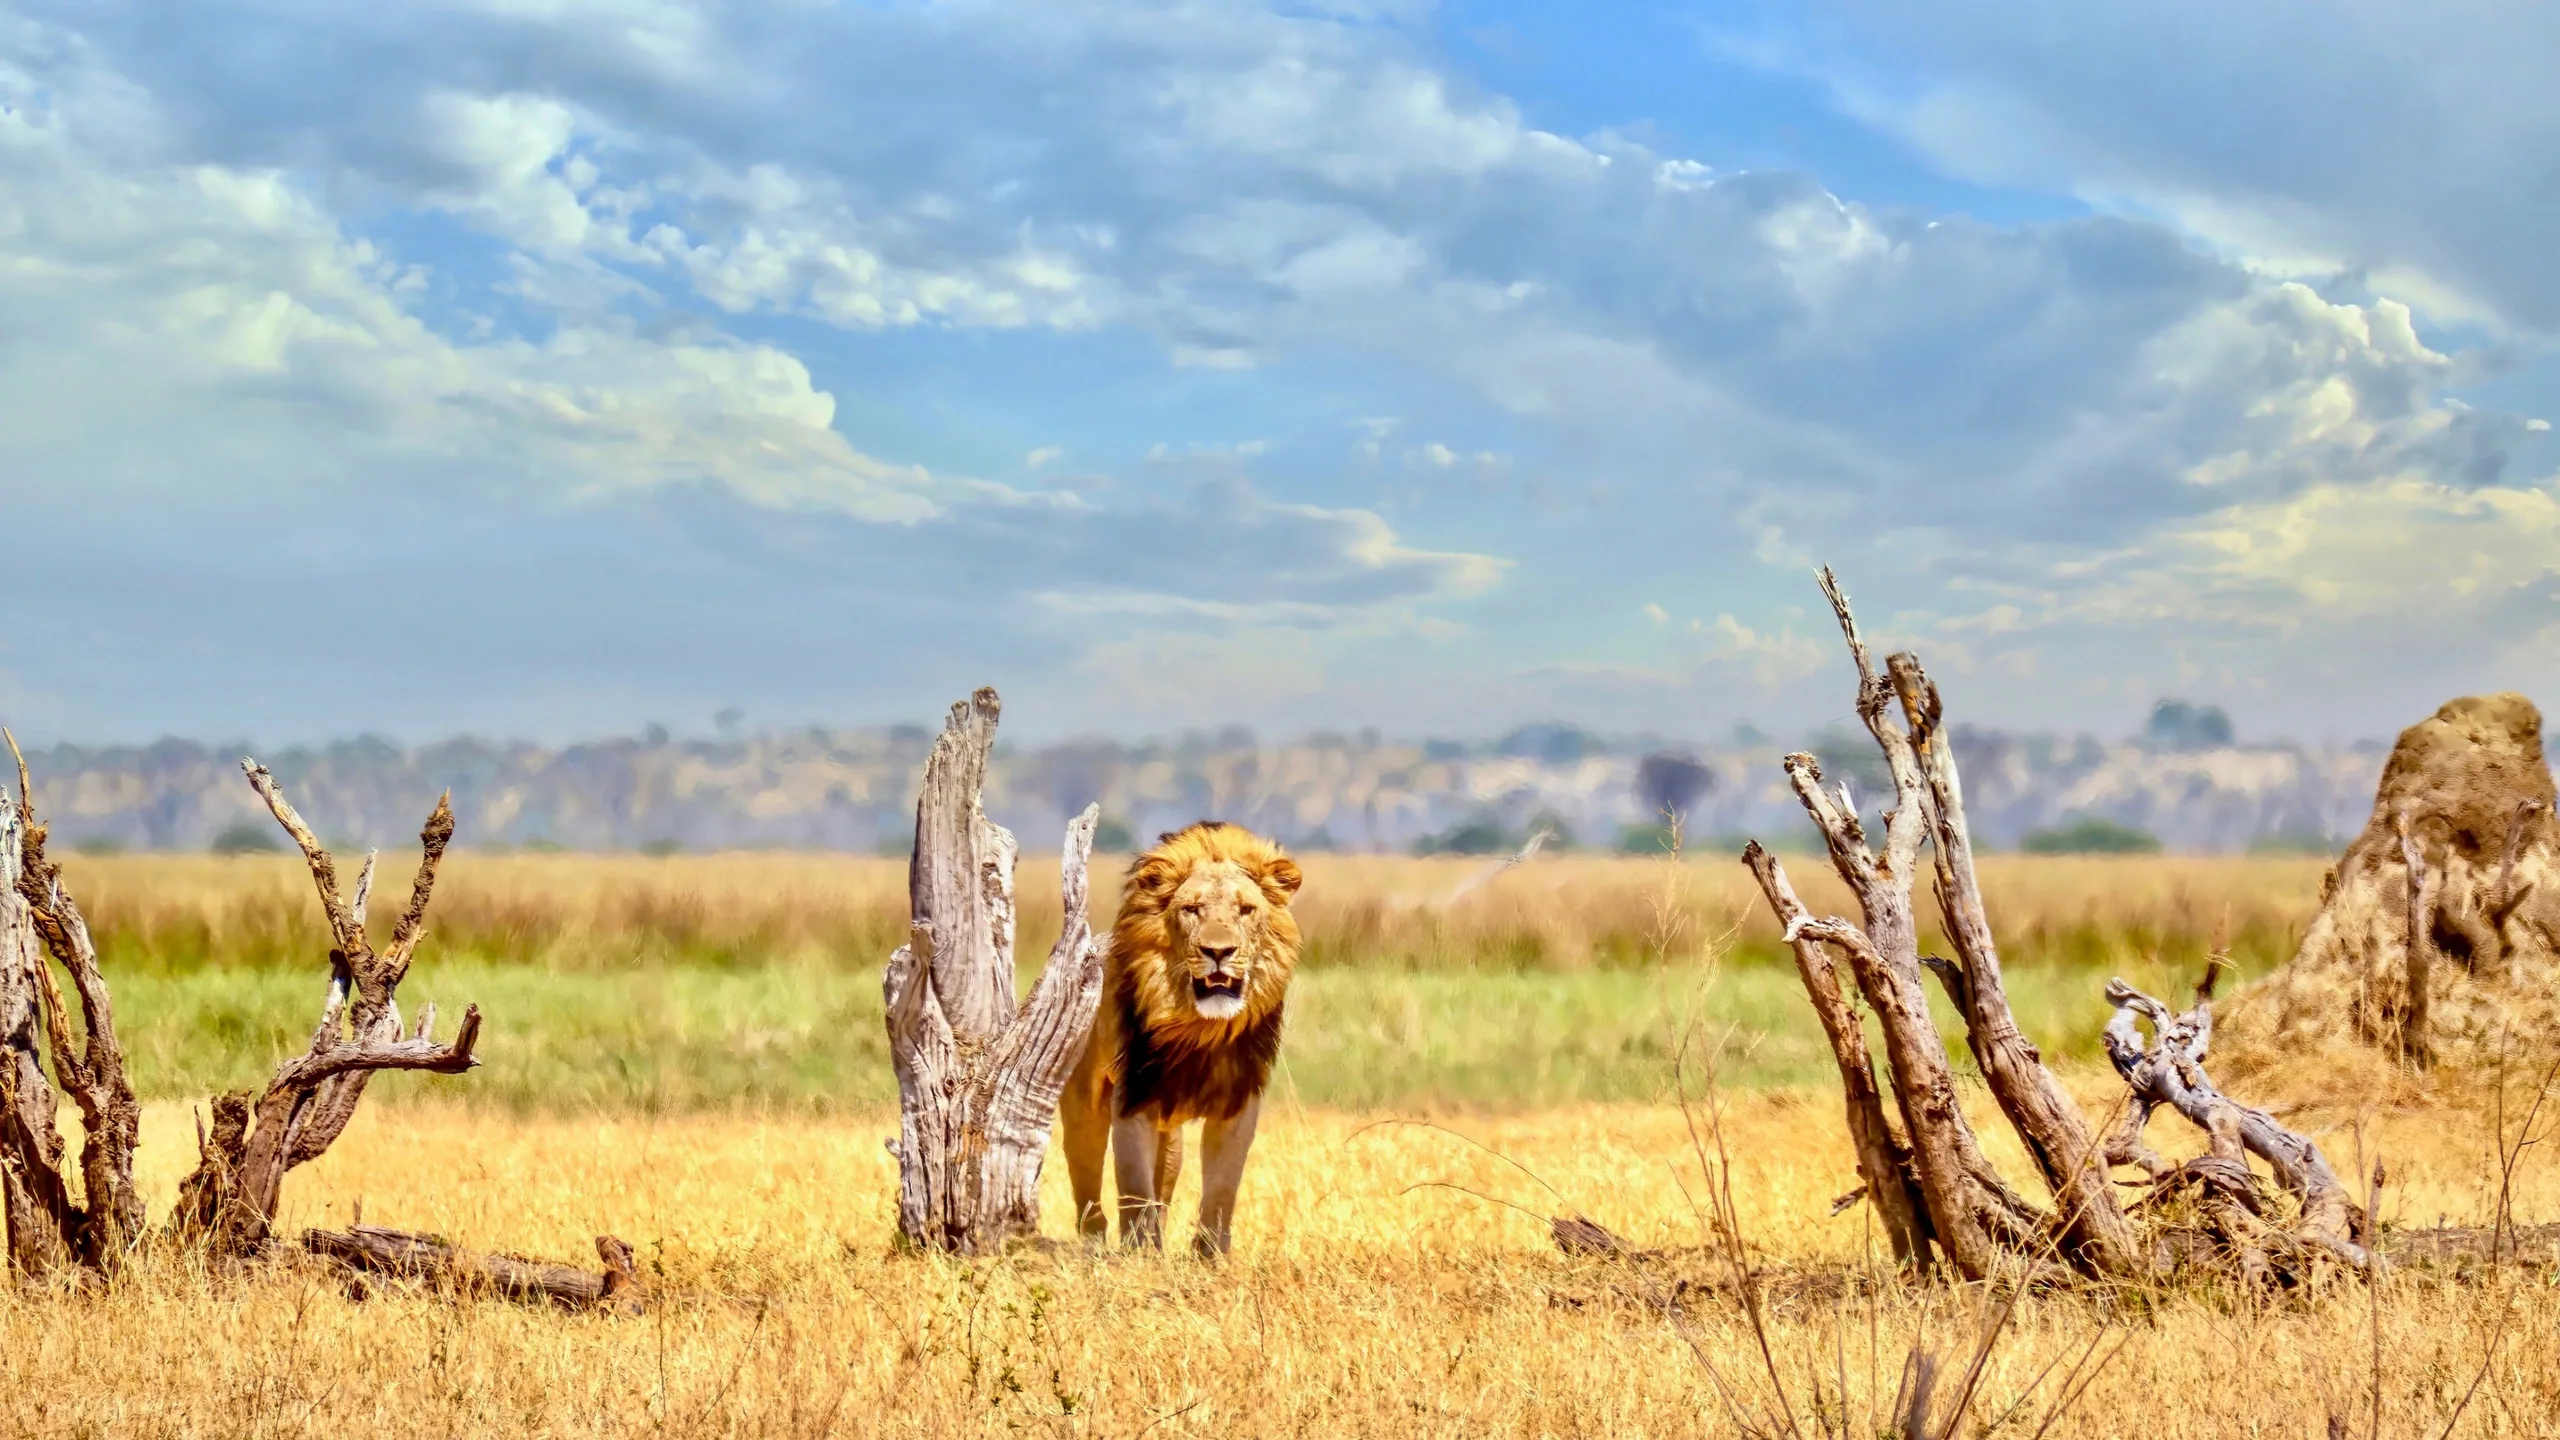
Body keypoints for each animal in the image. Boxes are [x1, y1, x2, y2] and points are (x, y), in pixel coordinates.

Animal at [1059, 821, 1303, 1256]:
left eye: (1246, 909)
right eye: (1192, 909)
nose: (1218, 951)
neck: (1200, 1029)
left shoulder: (1239, 1101)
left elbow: (1223, 1188)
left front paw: (1210, 1257)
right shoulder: (1133, 1097)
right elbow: (1133, 1187)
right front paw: (1140, 1254)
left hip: (1169, 1132)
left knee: (1165, 1182)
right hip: (1082, 1104)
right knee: (1085, 1180)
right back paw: (1094, 1242)